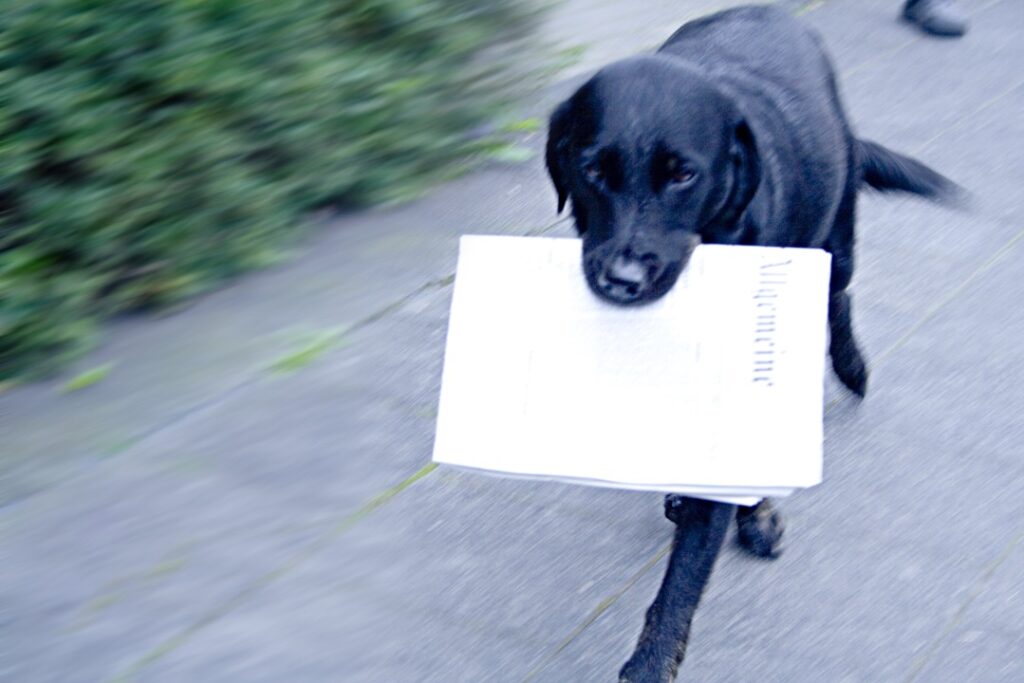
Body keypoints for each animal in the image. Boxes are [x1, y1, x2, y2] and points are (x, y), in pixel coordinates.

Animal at [548, 6, 954, 683]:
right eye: (593, 171)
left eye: (684, 175)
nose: (622, 282)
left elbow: (685, 576)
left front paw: (652, 660)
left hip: (836, 240)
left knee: (838, 298)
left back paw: (852, 369)